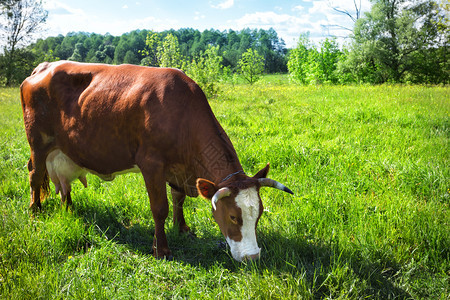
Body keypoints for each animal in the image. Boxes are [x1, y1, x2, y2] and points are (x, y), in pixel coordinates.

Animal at [21, 60, 294, 260]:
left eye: (258, 215)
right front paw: (161, 249)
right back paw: (35, 211)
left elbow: (178, 199)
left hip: (62, 151)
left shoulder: (178, 169)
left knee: (62, 184)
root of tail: (43, 66)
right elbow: (159, 207)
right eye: (234, 217)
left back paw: (68, 208)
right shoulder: (151, 164)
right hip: (37, 142)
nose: (253, 257)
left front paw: (182, 228)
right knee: (34, 174)